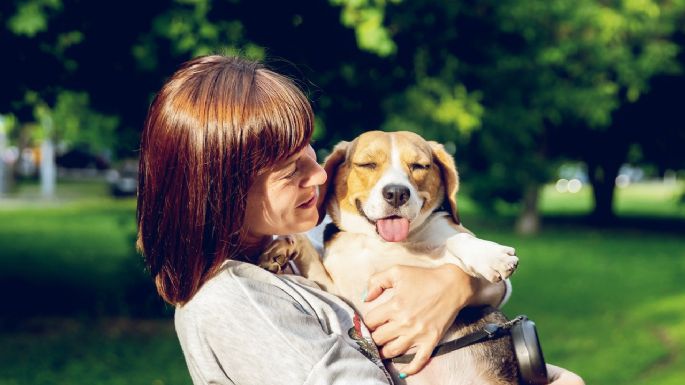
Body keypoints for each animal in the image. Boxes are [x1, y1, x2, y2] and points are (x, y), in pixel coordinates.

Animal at [260, 130, 520, 382]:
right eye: (367, 164)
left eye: (419, 166)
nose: (396, 193)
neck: (381, 244)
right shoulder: (339, 290)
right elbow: (302, 241)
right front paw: (278, 250)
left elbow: (455, 240)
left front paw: (492, 256)